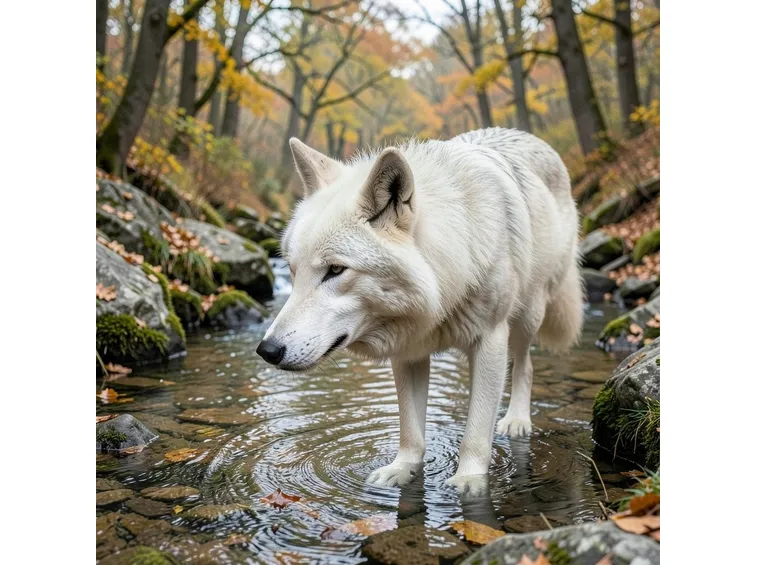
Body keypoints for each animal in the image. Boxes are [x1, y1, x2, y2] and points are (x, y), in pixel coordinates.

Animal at [256, 128, 583, 494]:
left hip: (528, 316)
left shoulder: (490, 341)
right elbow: (410, 431)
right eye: (292, 271)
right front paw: (401, 471)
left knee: (525, 366)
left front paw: (469, 481)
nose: (267, 350)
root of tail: (530, 137)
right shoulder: (407, 351)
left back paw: (516, 420)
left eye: (336, 270)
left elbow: (475, 430)